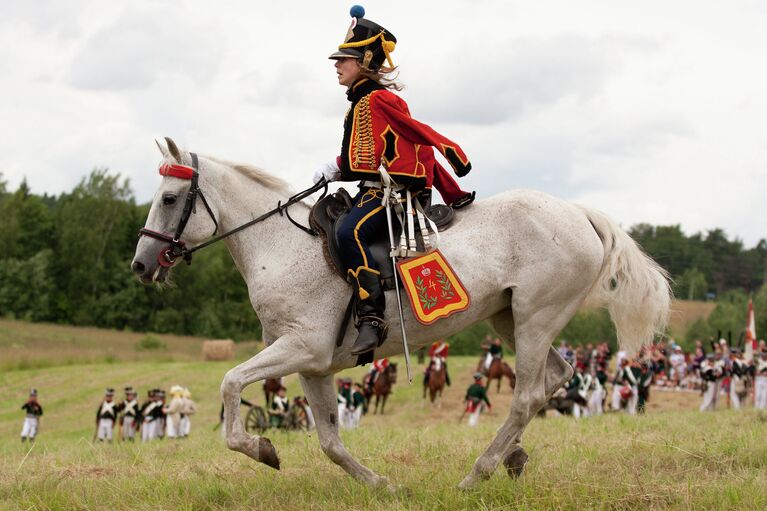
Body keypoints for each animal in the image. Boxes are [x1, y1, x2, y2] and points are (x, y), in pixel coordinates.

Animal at [134, 138, 672, 490]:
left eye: (169, 199)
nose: (141, 265)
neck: (281, 245)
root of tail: (579, 213)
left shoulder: (301, 347)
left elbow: (230, 383)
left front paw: (259, 448)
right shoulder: (314, 364)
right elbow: (330, 440)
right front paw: (381, 485)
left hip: (536, 317)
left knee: (526, 396)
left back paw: (478, 473)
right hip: (510, 318)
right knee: (554, 380)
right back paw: (512, 457)